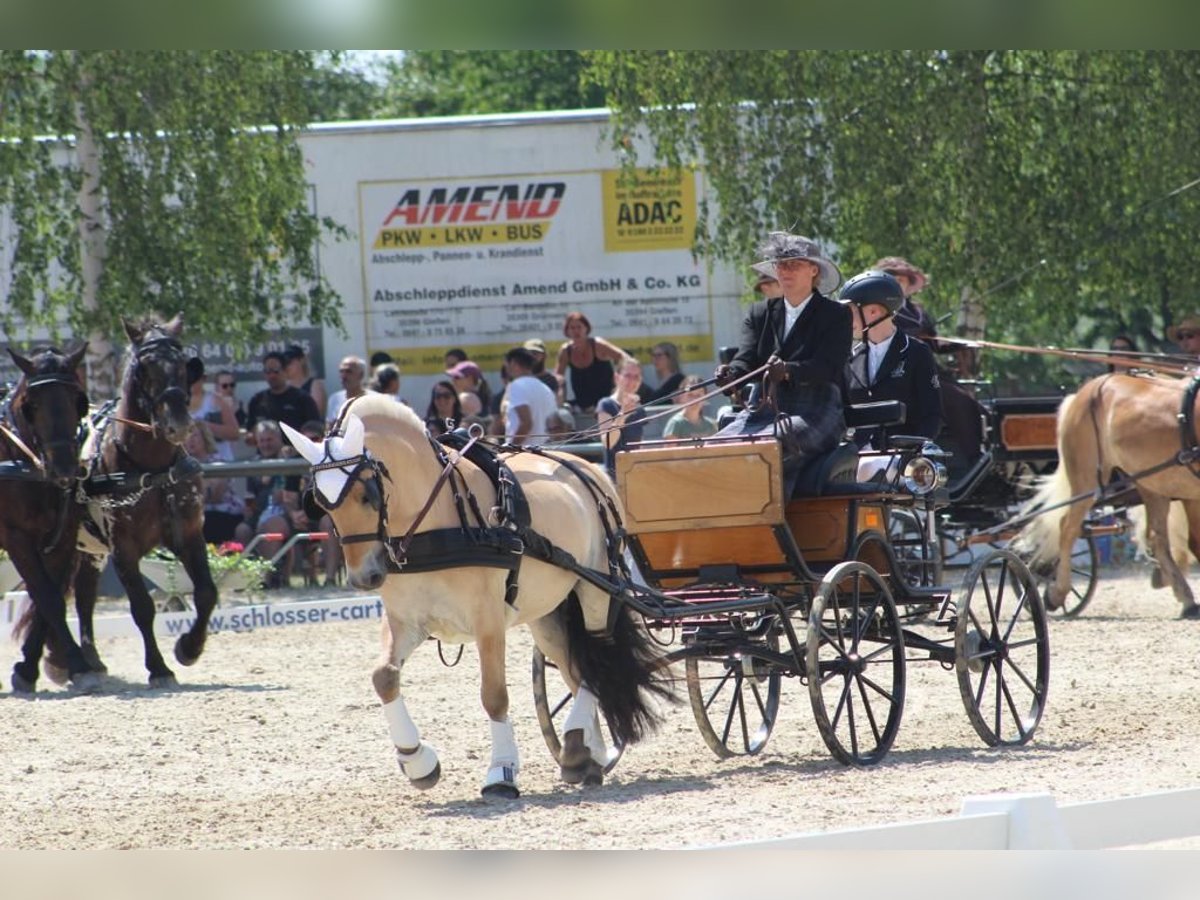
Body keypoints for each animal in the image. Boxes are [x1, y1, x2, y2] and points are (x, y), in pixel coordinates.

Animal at [2, 340, 96, 696]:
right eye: (32, 404)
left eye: (77, 400)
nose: (65, 469)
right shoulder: (15, 536)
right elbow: (47, 597)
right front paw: (80, 665)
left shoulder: (63, 536)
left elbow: (48, 597)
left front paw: (29, 667)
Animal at [283, 398, 676, 801]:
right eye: (320, 502)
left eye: (367, 495)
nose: (364, 577)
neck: (434, 522)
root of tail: (589, 467)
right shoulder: (404, 620)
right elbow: (384, 677)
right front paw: (417, 761)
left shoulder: (488, 620)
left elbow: (494, 695)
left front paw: (501, 772)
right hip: (547, 612)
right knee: (576, 669)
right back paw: (584, 754)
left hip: (596, 588)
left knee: (599, 659)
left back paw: (576, 745)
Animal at [1017, 374, 1200, 619]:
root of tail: (1084, 392)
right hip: (1086, 480)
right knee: (1068, 528)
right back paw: (1057, 594)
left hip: (1152, 484)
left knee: (1157, 538)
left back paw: (1184, 596)